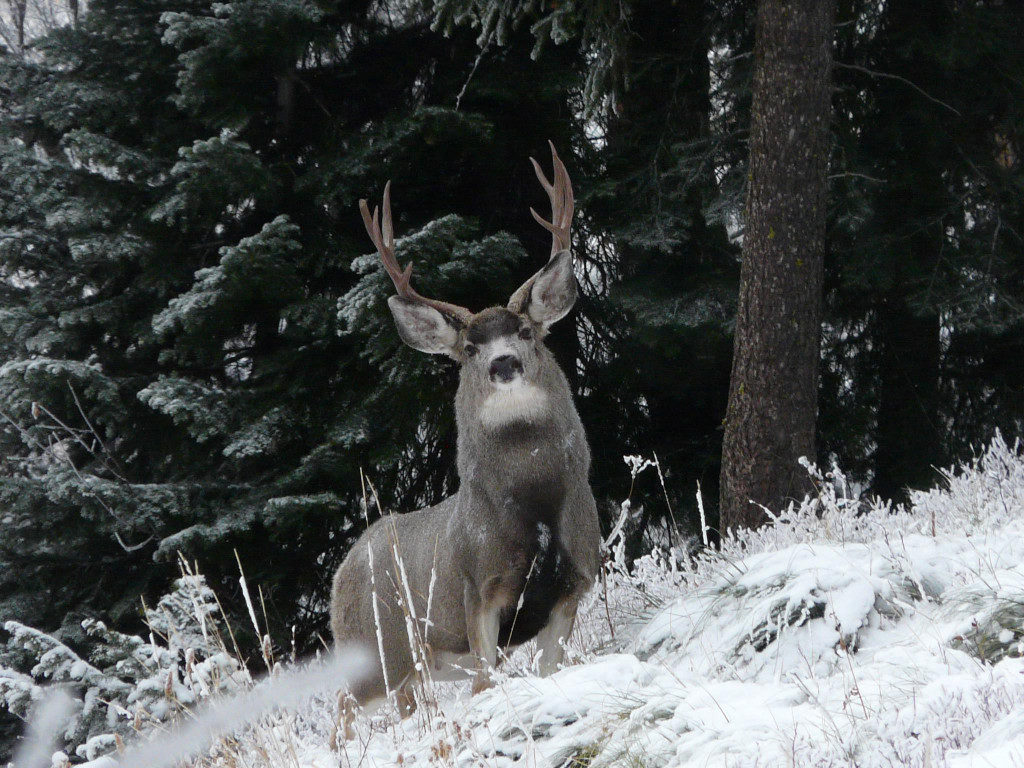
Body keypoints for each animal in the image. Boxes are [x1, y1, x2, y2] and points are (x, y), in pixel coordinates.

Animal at [329, 144, 598, 729]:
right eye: (469, 349)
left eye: (526, 331)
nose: (503, 363)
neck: (535, 507)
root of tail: (340, 572)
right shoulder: (480, 594)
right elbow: (483, 685)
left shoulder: (573, 587)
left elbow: (549, 672)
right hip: (375, 652)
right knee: (339, 714)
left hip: (410, 667)